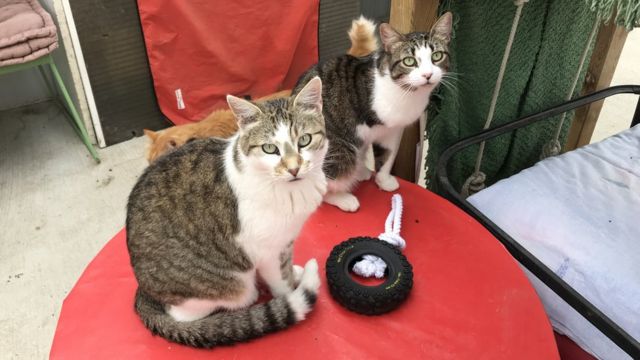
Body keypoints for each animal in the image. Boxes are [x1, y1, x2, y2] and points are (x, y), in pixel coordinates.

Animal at [129, 77, 330, 348]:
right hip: (230, 286)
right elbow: (281, 281)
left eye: (305, 140)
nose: (294, 168)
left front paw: (294, 273)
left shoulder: (286, 240)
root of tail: (145, 291)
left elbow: (287, 265)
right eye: (270, 148)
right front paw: (290, 292)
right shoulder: (266, 249)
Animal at [292, 12, 452, 212]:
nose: (428, 75)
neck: (408, 92)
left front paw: (383, 180)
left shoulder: (394, 129)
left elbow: (388, 155)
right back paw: (343, 197)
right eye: (409, 61)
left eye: (437, 56)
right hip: (339, 152)